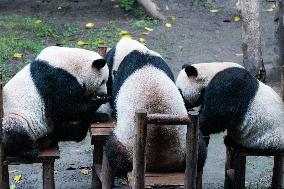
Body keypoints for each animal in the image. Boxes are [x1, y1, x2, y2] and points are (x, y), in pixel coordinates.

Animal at [104, 38, 206, 177]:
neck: (136, 50)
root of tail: (161, 163)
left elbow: (114, 94)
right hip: (187, 146)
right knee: (200, 150)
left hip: (127, 146)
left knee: (115, 153)